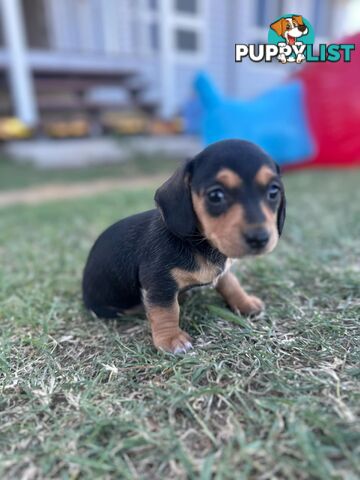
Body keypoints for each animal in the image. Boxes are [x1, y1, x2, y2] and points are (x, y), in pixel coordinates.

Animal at [82, 139, 286, 352]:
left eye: (274, 191)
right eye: (215, 195)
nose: (260, 238)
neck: (198, 243)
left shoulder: (223, 273)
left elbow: (231, 285)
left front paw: (245, 303)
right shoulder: (159, 283)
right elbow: (166, 311)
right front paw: (171, 339)